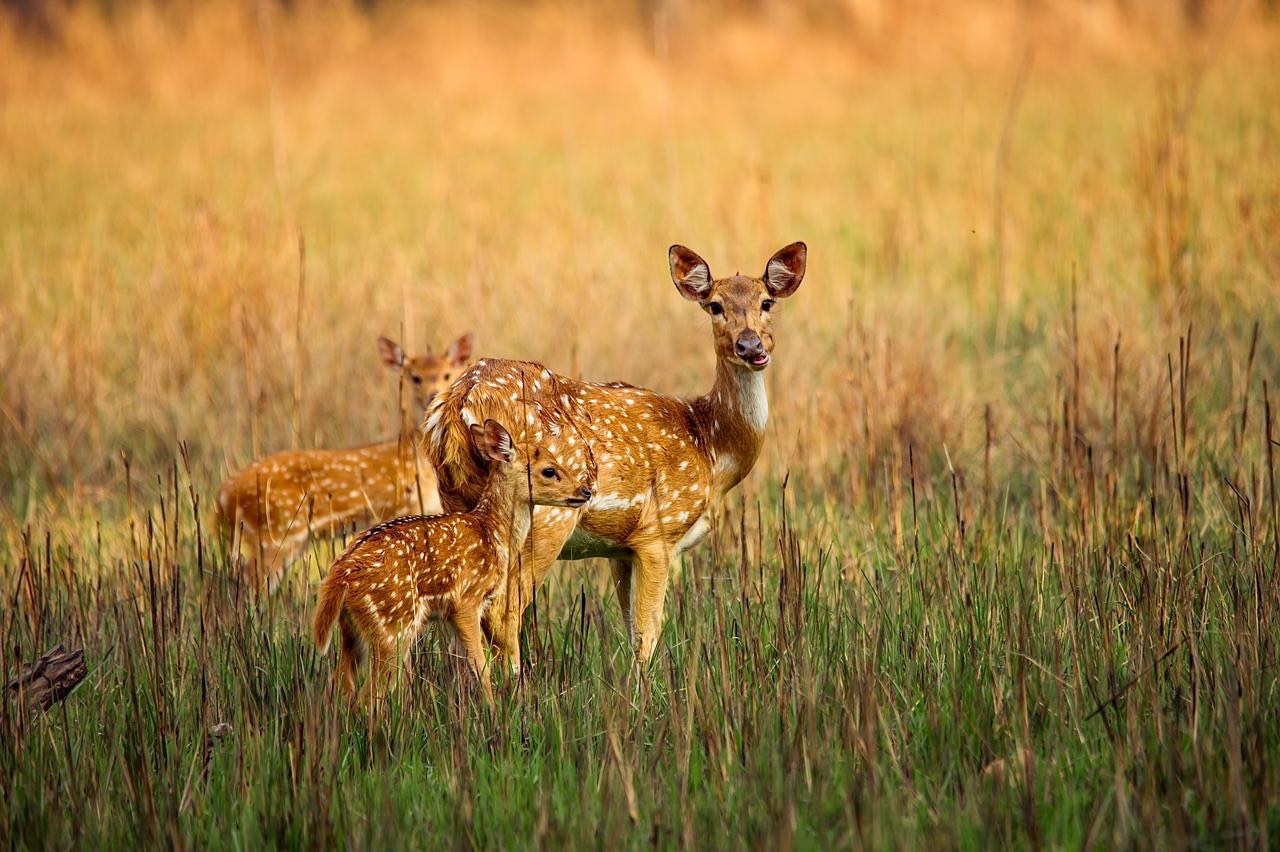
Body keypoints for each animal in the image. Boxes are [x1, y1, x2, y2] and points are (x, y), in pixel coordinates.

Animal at [216, 332, 474, 589]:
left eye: (447, 374)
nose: (432, 394)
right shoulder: (404, 508)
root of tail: (223, 497)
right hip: (273, 533)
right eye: (415, 377)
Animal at [312, 419, 594, 707]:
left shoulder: (451, 613)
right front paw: (492, 710)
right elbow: (481, 666)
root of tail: (340, 574)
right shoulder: (467, 599)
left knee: (339, 684)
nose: (585, 491)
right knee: (370, 695)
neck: (493, 533)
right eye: (549, 470)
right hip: (392, 622)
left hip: (351, 628)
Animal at [423, 243, 806, 671]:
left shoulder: (620, 548)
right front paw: (646, 686)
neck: (710, 446)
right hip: (542, 511)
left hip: (458, 504)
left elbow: (628, 624)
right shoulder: (658, 531)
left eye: (767, 301)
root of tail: (457, 405)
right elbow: (648, 631)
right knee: (503, 613)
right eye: (715, 305)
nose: (751, 346)